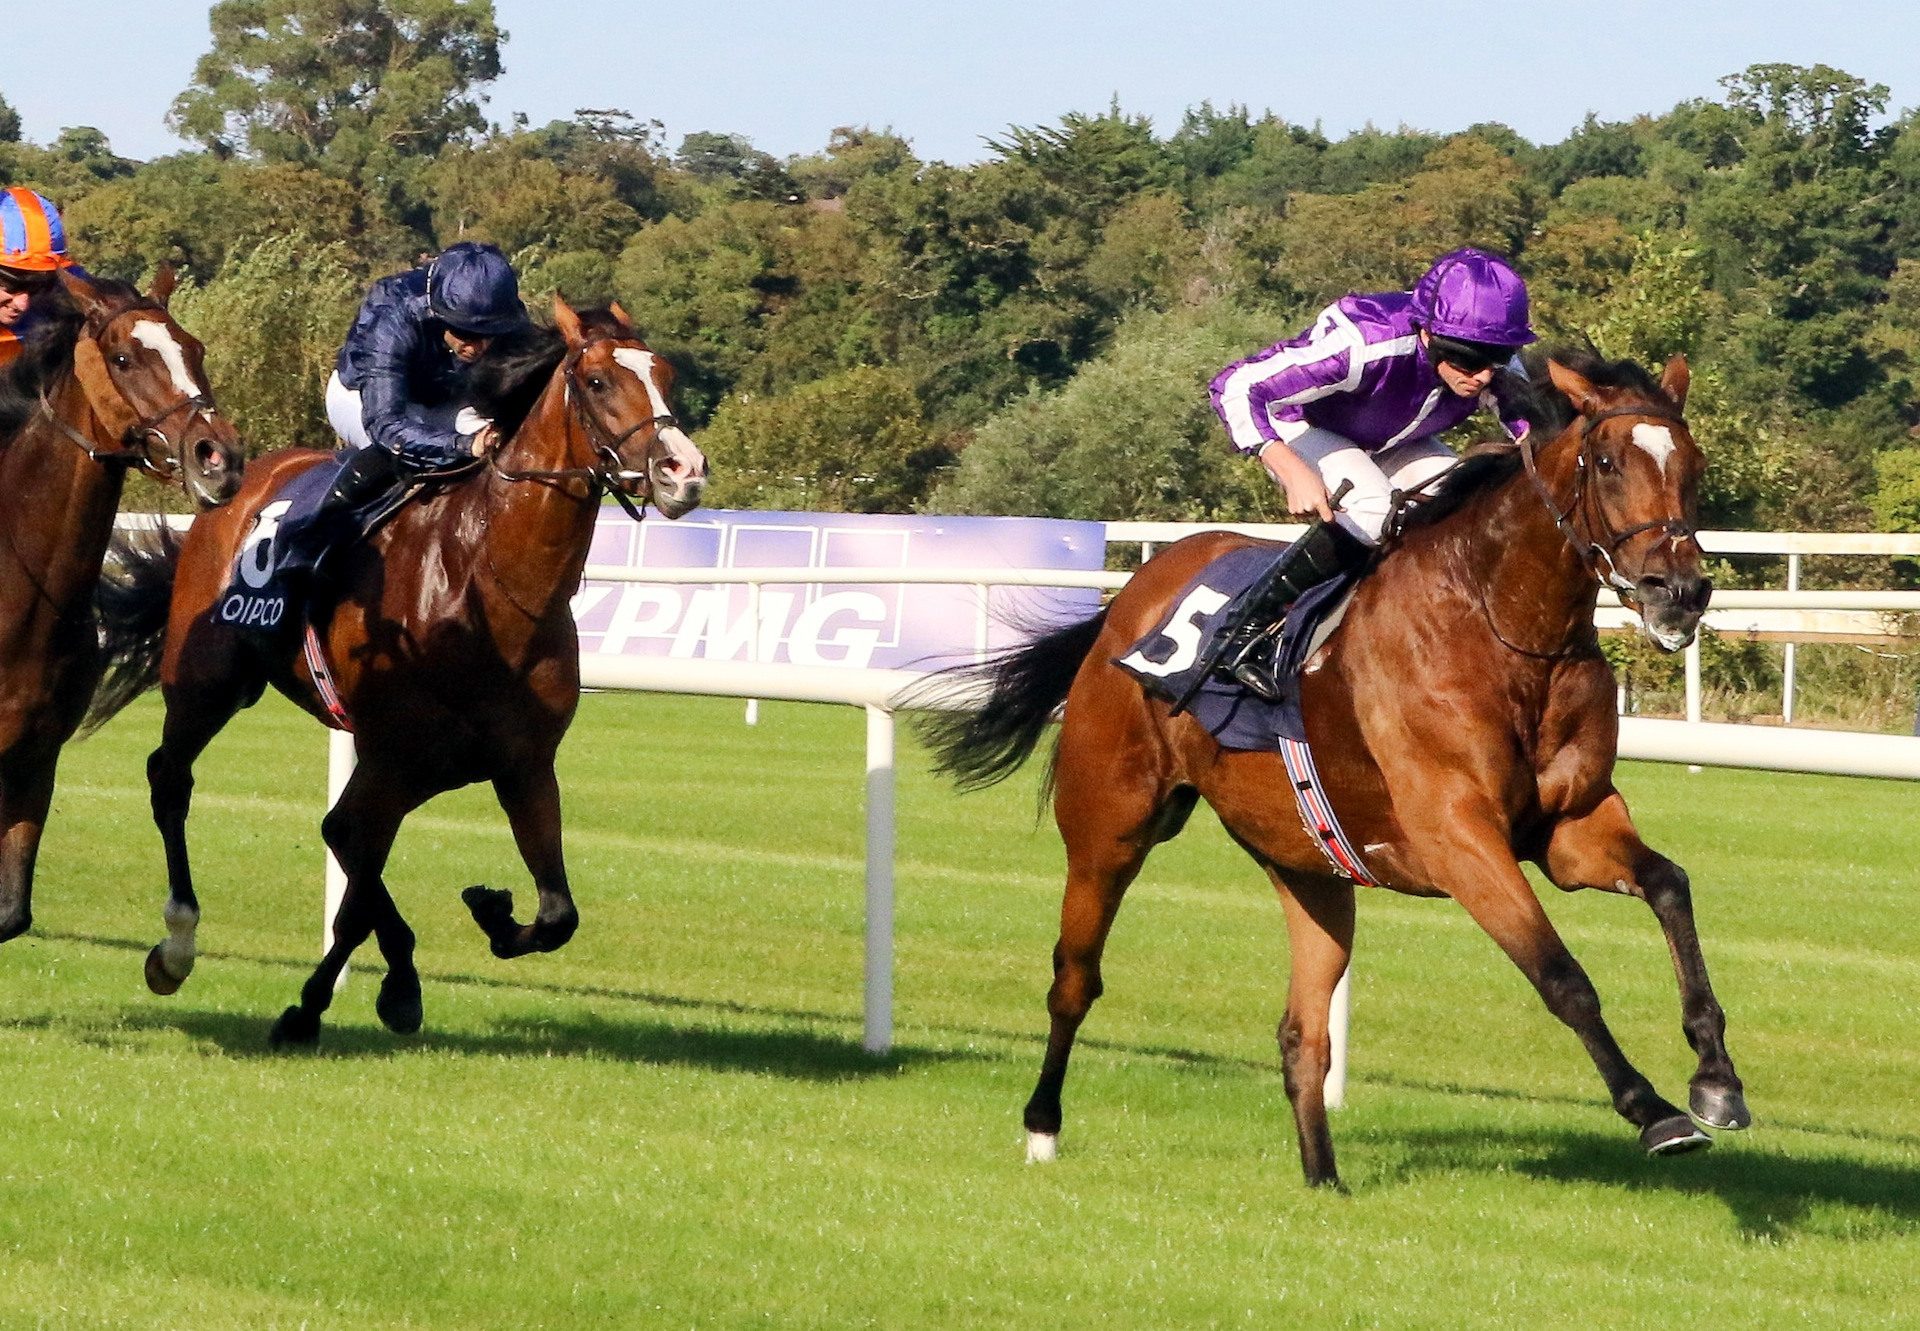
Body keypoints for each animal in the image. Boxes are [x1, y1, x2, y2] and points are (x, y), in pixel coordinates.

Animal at [86, 295, 710, 1044]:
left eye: (666, 375)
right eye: (596, 382)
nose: (683, 470)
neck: (491, 585)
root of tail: (233, 483)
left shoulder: (522, 764)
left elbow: (557, 912)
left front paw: (488, 915)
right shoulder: (392, 758)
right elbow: (354, 901)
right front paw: (306, 1009)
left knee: (338, 829)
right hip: (213, 681)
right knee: (174, 780)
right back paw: (175, 948)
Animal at [921, 349, 1751, 1183]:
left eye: (1695, 466)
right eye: (1607, 463)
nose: (1679, 591)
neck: (1499, 619)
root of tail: (1127, 603)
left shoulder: (1572, 824)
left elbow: (1669, 884)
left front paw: (1716, 1078)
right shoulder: (1459, 837)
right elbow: (1562, 975)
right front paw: (1653, 1110)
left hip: (1308, 862)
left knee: (1302, 1032)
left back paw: (1324, 1177)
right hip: (1108, 828)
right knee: (1074, 976)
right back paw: (1042, 1127)